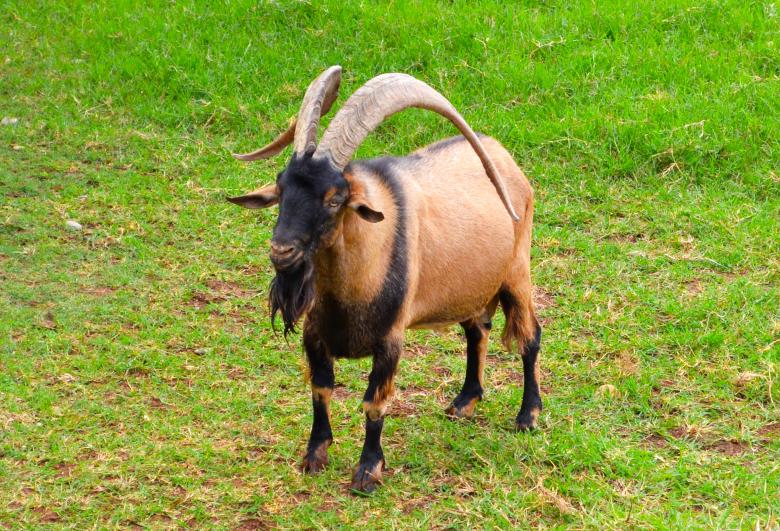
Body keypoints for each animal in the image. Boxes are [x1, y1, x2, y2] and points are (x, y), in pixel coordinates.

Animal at [228, 66, 542, 493]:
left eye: (334, 198)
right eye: (281, 187)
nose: (282, 252)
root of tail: (503, 158)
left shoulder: (390, 339)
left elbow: (374, 403)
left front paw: (367, 472)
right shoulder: (315, 334)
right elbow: (320, 388)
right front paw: (314, 456)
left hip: (516, 273)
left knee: (530, 336)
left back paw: (528, 416)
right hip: (472, 286)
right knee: (478, 331)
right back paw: (463, 403)